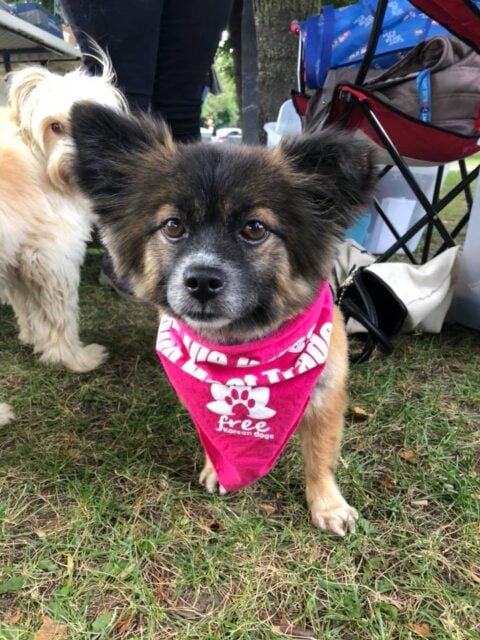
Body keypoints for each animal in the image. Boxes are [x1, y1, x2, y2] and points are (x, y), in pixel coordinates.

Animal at [0, 58, 126, 420]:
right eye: (55, 126)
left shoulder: (20, 257)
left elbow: (29, 307)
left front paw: (34, 339)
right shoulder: (52, 257)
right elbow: (61, 316)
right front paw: (73, 358)